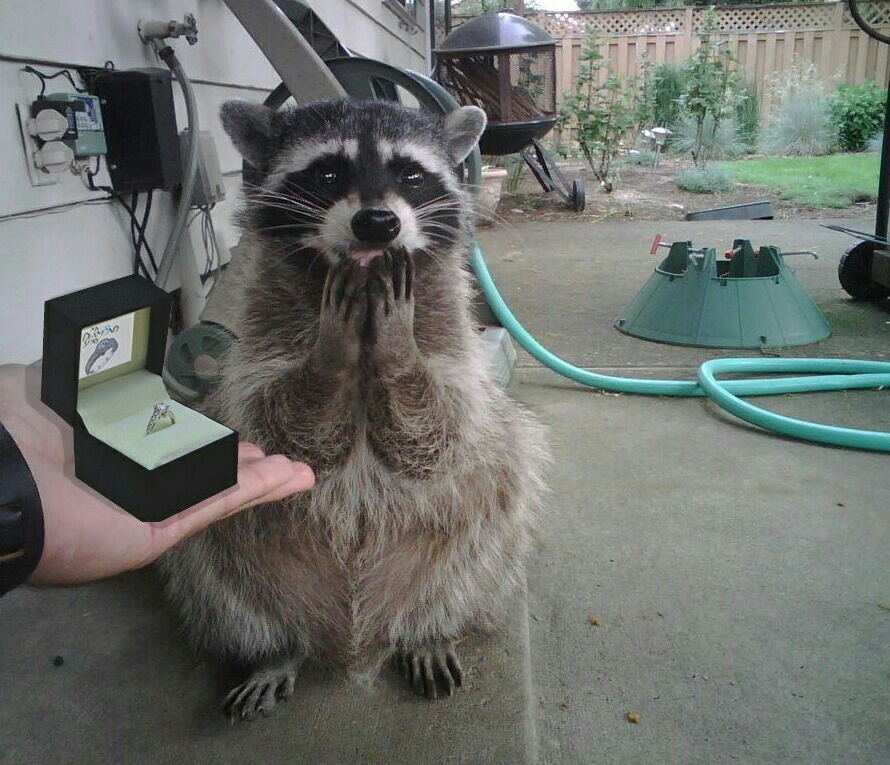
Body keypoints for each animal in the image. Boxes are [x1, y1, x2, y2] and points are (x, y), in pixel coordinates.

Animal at [160, 98, 548, 720]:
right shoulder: (258, 349)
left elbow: (442, 432)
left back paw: (430, 630)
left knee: (497, 509)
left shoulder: (451, 340)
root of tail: (353, 639)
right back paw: (272, 649)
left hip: (471, 550)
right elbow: (279, 431)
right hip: (237, 570)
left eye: (410, 174)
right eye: (326, 173)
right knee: (208, 561)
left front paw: (398, 353)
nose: (376, 223)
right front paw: (330, 358)